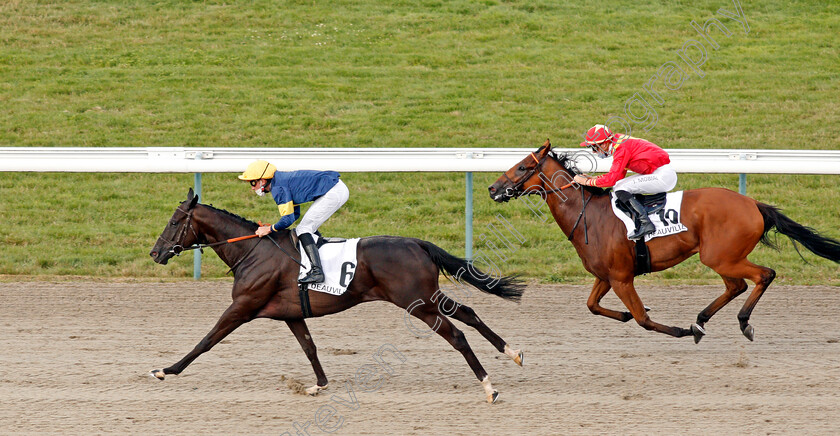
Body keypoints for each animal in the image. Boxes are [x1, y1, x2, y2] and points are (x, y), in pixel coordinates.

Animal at [148, 189, 520, 404]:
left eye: (174, 222)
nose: (155, 253)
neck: (253, 251)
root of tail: (417, 243)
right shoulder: (291, 314)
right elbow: (309, 347)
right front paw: (319, 385)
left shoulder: (243, 306)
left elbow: (206, 341)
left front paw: (166, 370)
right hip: (428, 297)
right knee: (468, 313)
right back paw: (512, 353)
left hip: (417, 303)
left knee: (456, 335)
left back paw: (489, 387)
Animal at [486, 141, 840, 342]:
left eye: (522, 166)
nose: (493, 188)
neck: (589, 215)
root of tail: (753, 203)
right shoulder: (606, 276)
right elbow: (592, 306)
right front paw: (628, 315)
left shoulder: (621, 277)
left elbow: (643, 320)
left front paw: (677, 330)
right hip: (722, 257)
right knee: (736, 285)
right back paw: (701, 321)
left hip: (721, 256)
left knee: (763, 275)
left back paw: (740, 323)